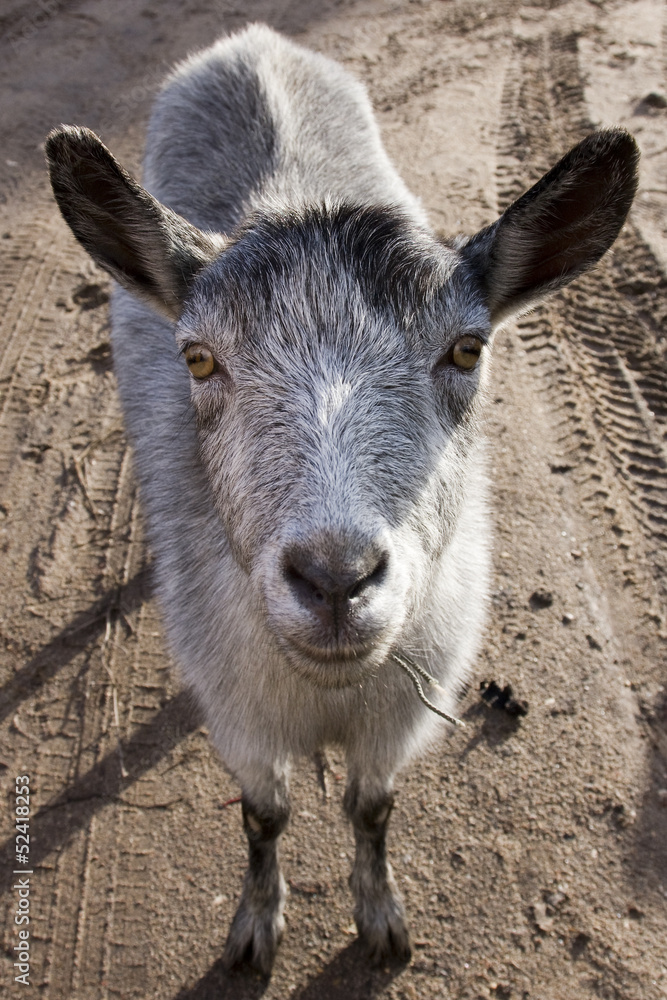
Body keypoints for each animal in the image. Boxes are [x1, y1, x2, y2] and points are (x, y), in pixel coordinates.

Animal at [46, 23, 638, 974]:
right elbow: (264, 816)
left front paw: (381, 917)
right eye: (198, 357)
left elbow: (371, 810)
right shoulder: (240, 716)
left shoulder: (398, 716)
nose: (335, 579)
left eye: (467, 349)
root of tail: (251, 41)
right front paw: (256, 926)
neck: (328, 697)